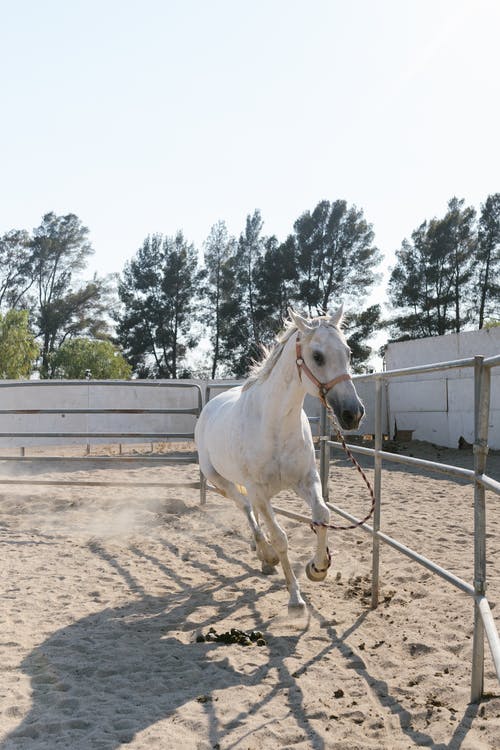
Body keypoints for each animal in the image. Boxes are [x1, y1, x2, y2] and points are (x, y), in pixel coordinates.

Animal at [195, 308, 364, 612]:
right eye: (317, 356)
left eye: (348, 351)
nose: (353, 414)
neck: (275, 425)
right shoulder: (260, 492)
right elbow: (280, 537)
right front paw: (295, 597)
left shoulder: (306, 480)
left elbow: (322, 516)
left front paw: (317, 568)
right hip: (219, 479)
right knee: (246, 508)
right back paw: (266, 555)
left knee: (252, 511)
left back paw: (264, 557)